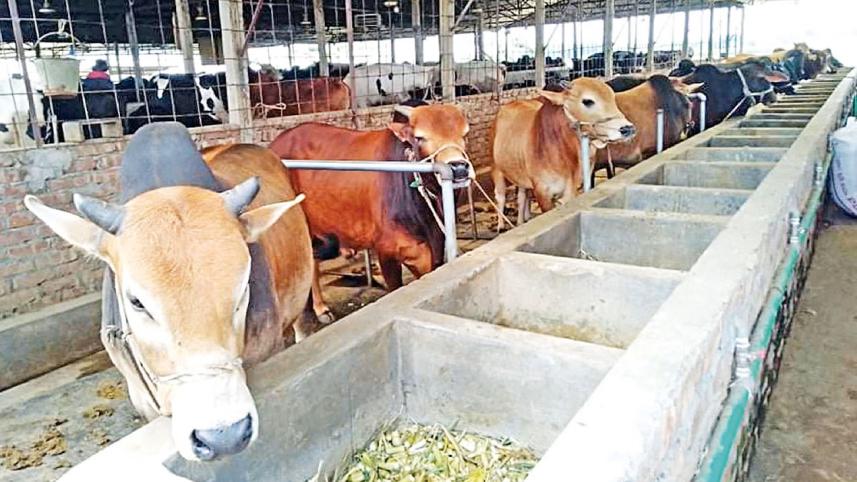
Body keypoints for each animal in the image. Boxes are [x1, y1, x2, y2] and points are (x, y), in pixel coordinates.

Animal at [490, 78, 636, 230]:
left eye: (612, 97)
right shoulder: (543, 193)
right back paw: (501, 225)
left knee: (522, 195)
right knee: (500, 196)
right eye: (587, 101)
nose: (628, 128)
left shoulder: (571, 190)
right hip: (496, 168)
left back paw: (521, 221)